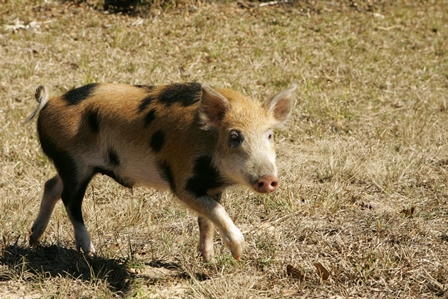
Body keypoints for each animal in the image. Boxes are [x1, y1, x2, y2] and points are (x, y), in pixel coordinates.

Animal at [26, 82, 296, 262]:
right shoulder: (182, 180)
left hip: (69, 165)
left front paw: (208, 260)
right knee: (70, 201)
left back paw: (33, 239)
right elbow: (215, 211)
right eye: (235, 136)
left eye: (269, 135)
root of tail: (49, 103)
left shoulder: (212, 186)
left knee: (51, 185)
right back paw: (90, 252)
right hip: (75, 163)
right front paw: (239, 253)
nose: (268, 180)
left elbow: (207, 218)